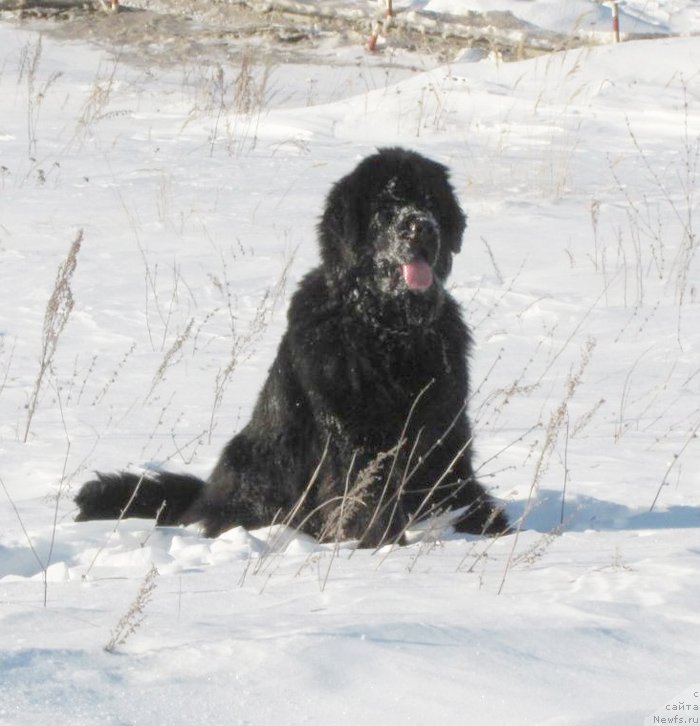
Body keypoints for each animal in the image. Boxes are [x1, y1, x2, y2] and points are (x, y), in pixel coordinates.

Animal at [74, 148, 506, 544]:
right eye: (387, 207)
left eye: (431, 201)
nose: (422, 227)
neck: (389, 330)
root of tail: (203, 496)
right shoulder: (355, 435)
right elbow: (368, 492)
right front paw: (380, 539)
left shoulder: (441, 425)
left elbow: (454, 480)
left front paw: (488, 526)